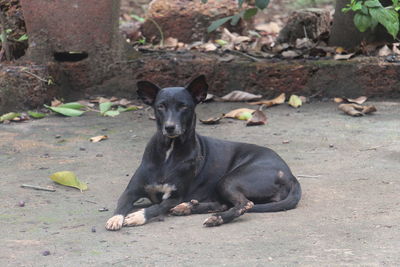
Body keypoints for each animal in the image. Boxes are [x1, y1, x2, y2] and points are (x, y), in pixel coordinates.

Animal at [104, 76, 302, 232]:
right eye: (160, 106)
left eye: (184, 107)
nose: (169, 127)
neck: (169, 152)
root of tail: (290, 175)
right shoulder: (131, 191)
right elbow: (121, 204)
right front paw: (115, 218)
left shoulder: (175, 197)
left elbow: (157, 208)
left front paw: (139, 216)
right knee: (225, 203)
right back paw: (188, 208)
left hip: (229, 180)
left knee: (244, 204)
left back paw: (216, 218)